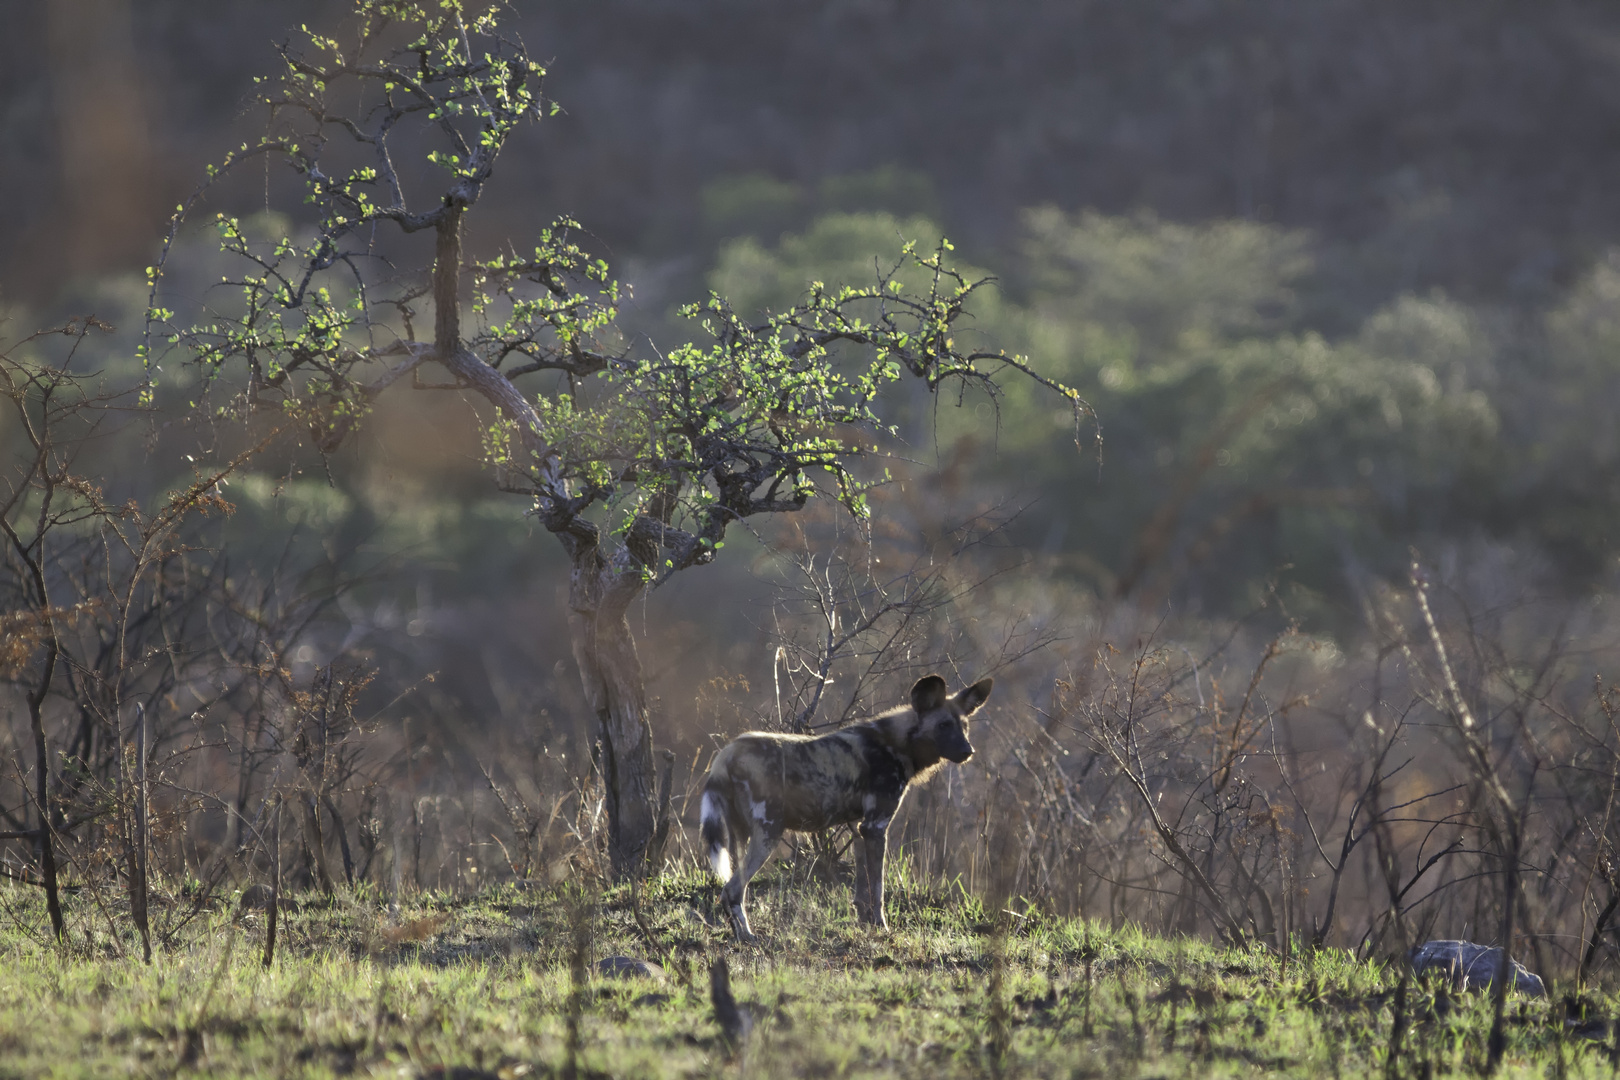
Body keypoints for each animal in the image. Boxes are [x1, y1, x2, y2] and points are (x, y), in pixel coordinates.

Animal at [696, 676, 984, 939]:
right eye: (943, 726)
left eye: (964, 727)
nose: (968, 751)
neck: (896, 743)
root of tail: (728, 752)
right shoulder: (876, 826)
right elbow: (878, 889)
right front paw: (881, 927)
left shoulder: (860, 829)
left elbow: (863, 889)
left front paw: (866, 923)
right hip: (768, 834)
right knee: (732, 890)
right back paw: (748, 936)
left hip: (740, 836)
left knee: (734, 885)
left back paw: (739, 934)